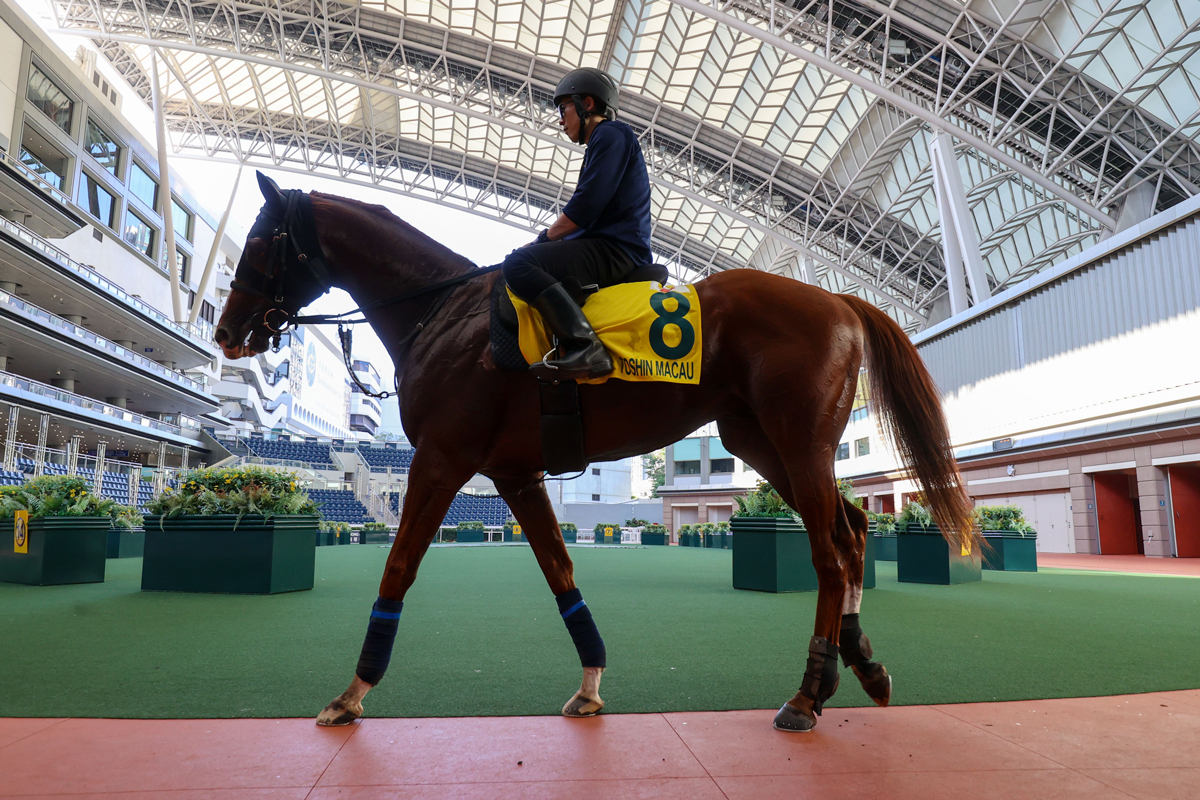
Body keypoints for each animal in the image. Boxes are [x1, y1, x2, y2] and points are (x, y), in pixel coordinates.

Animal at [216, 175, 979, 734]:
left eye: (259, 240)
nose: (226, 331)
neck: (446, 313)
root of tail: (837, 298)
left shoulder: (440, 458)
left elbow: (398, 568)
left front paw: (352, 692)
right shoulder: (515, 474)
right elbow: (560, 571)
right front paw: (590, 684)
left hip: (797, 441)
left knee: (829, 551)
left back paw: (806, 692)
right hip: (763, 444)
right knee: (852, 530)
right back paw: (859, 667)